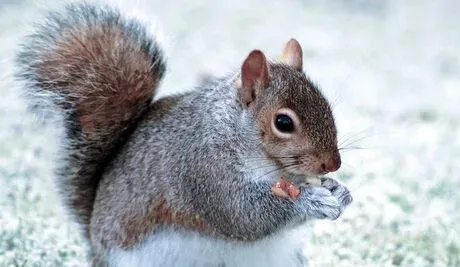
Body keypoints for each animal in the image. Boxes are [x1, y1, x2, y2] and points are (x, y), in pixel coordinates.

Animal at [14, 2, 352, 267]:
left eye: (326, 104)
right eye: (283, 122)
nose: (332, 164)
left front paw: (338, 191)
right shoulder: (201, 170)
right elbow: (244, 215)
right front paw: (310, 201)